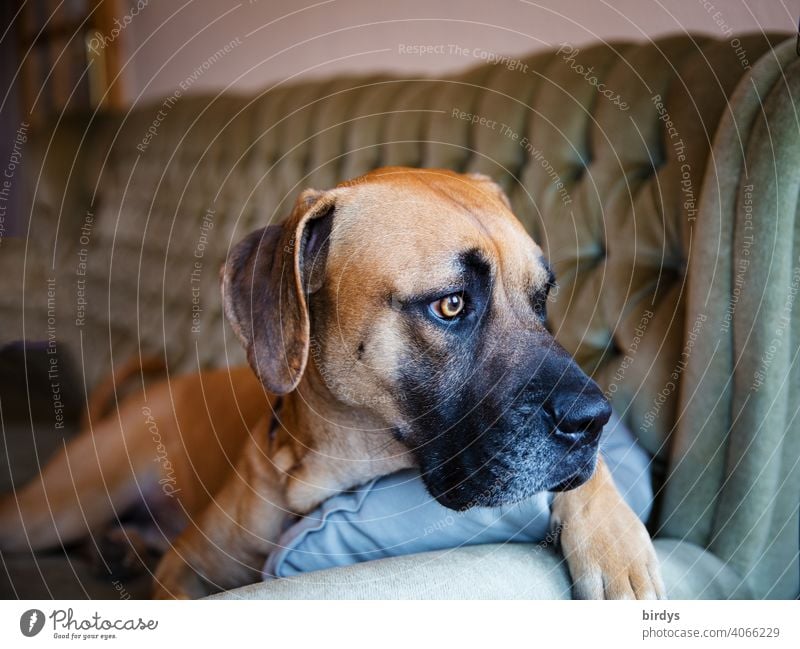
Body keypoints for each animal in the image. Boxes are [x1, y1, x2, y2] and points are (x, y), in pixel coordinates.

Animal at [0, 166, 664, 596]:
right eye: (450, 304)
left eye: (541, 299)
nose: (593, 420)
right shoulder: (185, 578)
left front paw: (616, 543)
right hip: (52, 509)